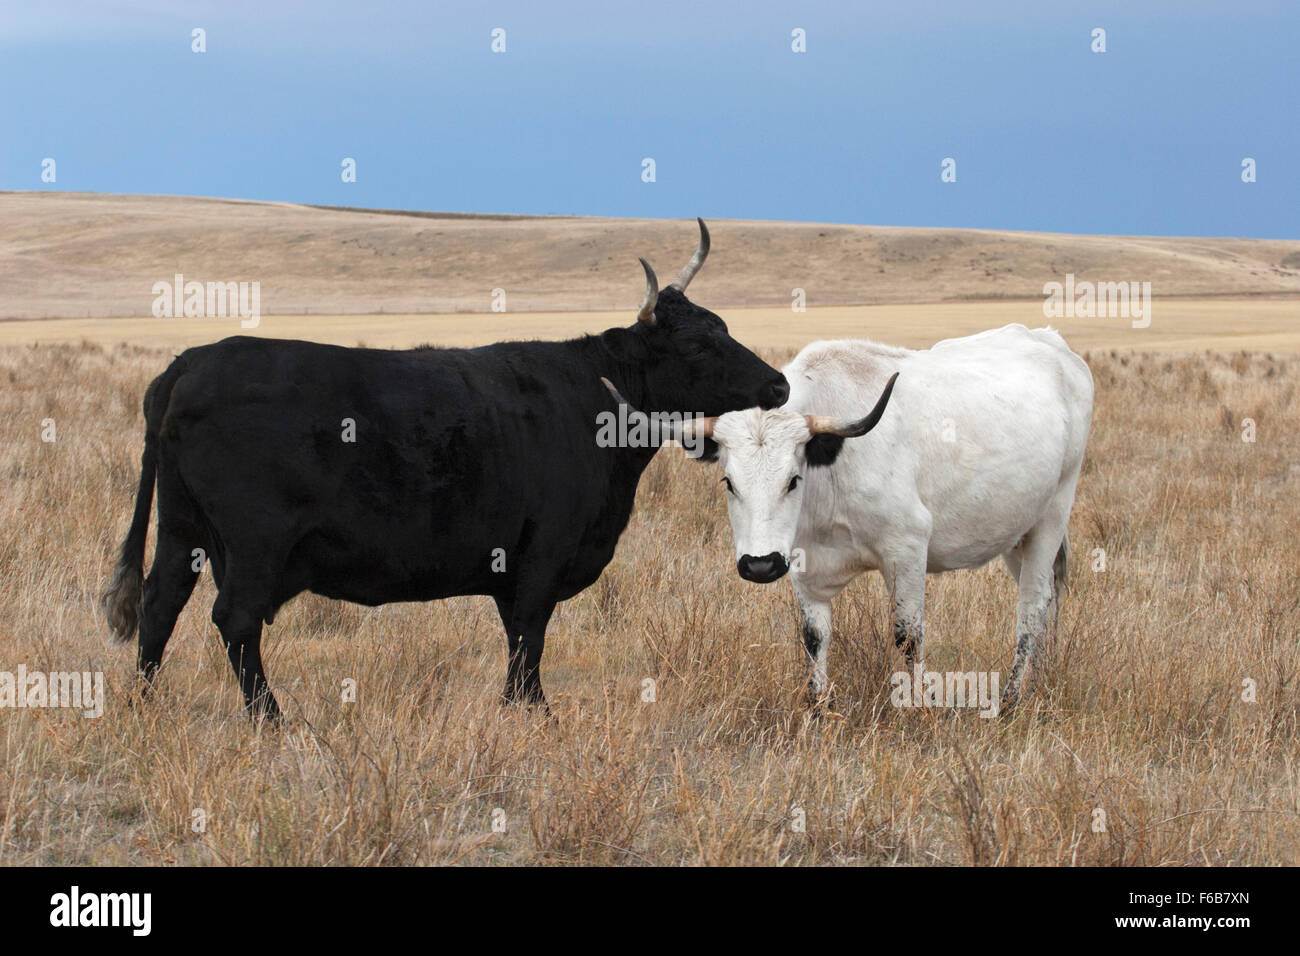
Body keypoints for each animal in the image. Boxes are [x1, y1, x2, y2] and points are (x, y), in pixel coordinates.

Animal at [101, 219, 790, 720]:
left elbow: (517, 633)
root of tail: (191, 359)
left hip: (182, 529)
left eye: (724, 325)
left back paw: (144, 706)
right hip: (254, 545)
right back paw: (271, 719)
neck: (593, 397)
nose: (779, 384)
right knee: (234, 620)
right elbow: (530, 634)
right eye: (697, 343)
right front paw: (534, 713)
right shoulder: (543, 553)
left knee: (161, 604)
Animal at [604, 324, 1093, 712]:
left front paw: (918, 707)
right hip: (1017, 531)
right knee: (1048, 598)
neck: (831, 471)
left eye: (793, 480)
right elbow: (814, 636)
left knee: (1032, 607)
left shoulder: (907, 549)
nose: (759, 565)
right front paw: (818, 708)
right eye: (728, 482)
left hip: (1052, 515)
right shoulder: (803, 564)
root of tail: (1054, 344)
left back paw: (1012, 697)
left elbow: (907, 635)